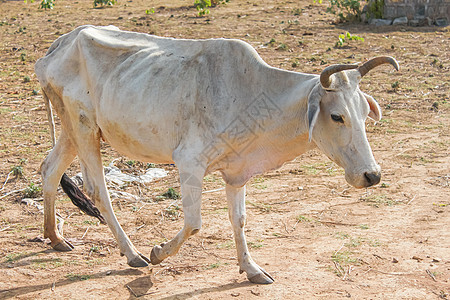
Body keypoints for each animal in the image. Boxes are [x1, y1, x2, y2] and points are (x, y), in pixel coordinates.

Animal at [35, 25, 398, 284]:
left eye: (364, 112)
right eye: (337, 116)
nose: (372, 175)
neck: (252, 95)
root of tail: (59, 45)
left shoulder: (237, 172)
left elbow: (239, 219)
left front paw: (251, 269)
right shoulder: (189, 162)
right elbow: (194, 223)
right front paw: (158, 252)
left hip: (73, 131)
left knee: (50, 169)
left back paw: (55, 237)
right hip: (83, 128)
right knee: (98, 190)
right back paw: (133, 253)